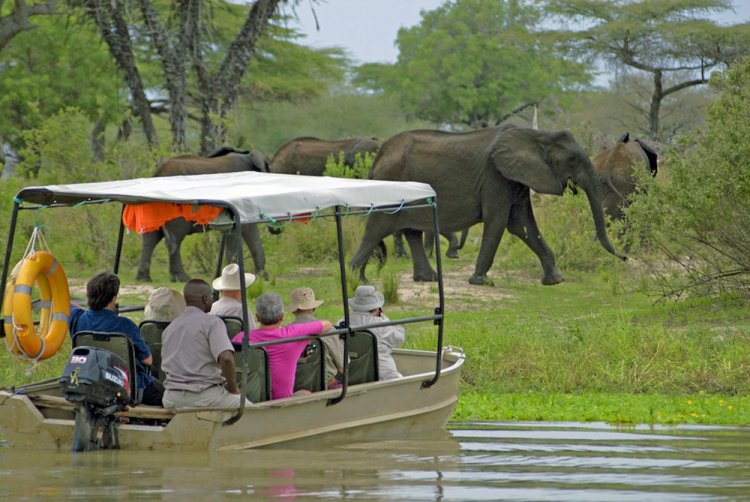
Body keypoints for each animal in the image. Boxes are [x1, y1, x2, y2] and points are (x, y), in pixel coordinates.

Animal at [137, 147, 272, 284]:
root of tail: (157, 173)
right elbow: (248, 230)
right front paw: (261, 277)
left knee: (150, 238)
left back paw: (144, 278)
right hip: (176, 205)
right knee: (174, 238)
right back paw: (182, 278)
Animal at [352, 125, 628, 286]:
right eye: (571, 159)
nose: (626, 257)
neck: (536, 136)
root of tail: (378, 158)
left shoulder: (514, 178)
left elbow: (522, 224)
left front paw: (555, 281)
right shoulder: (497, 176)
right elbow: (499, 222)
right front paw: (480, 282)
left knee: (411, 232)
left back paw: (426, 279)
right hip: (389, 185)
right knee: (377, 228)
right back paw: (358, 279)